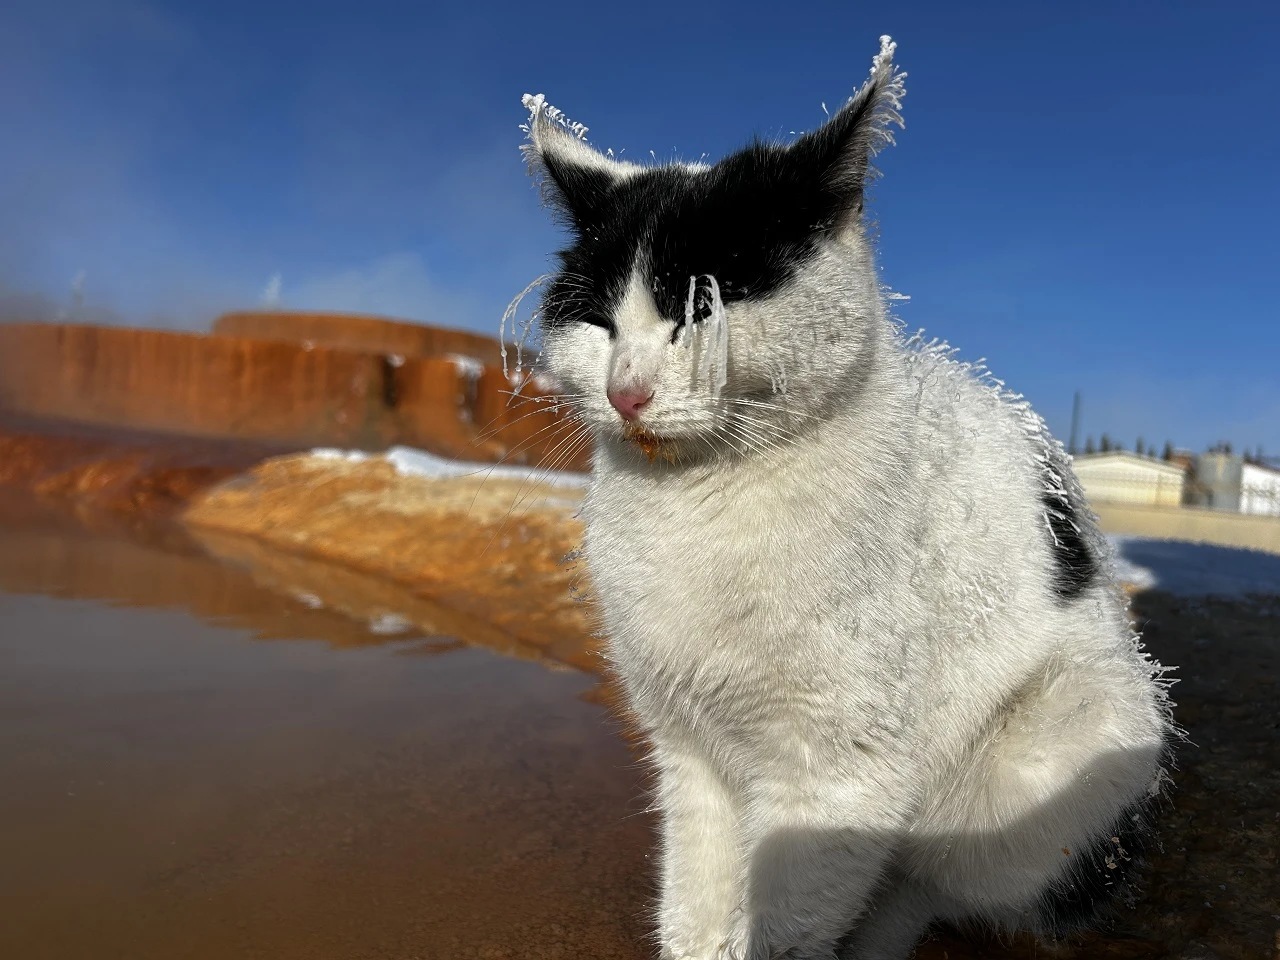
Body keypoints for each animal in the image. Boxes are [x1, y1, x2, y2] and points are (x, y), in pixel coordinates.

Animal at [517, 37, 1172, 960]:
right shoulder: (688, 755)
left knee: (923, 877)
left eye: (701, 308)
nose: (626, 391)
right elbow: (694, 902)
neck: (698, 505)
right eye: (601, 324)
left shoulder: (839, 773)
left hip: (1050, 750)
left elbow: (786, 925)